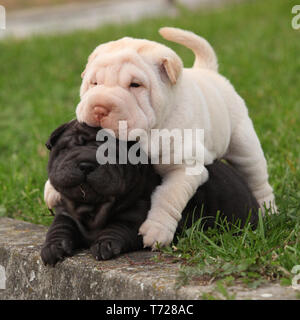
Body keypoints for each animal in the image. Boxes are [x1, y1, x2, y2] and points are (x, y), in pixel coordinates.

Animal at [41, 119, 258, 264]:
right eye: (67, 148)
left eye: (112, 154)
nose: (86, 164)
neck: (92, 208)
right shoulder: (66, 213)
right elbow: (59, 227)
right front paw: (52, 247)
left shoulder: (135, 220)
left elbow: (117, 229)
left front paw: (105, 244)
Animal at [44, 26, 276, 248]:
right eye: (94, 83)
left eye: (135, 85)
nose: (99, 108)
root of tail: (207, 71)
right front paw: (51, 189)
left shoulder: (184, 168)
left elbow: (168, 196)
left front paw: (156, 231)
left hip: (243, 143)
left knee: (257, 178)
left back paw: (269, 211)